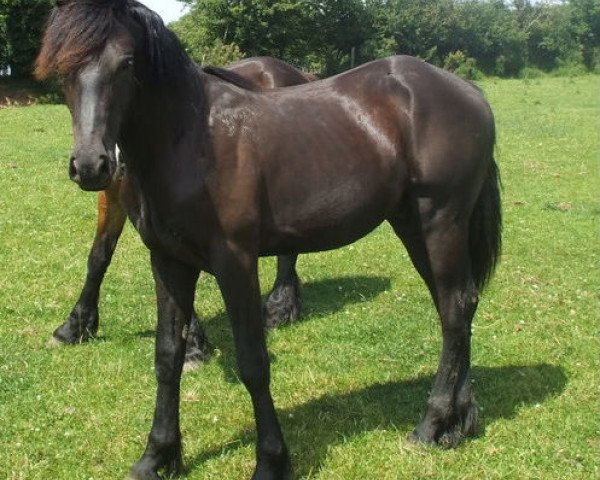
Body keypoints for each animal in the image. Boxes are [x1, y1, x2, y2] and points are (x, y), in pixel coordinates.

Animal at [50, 54, 314, 366]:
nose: (92, 165)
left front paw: (192, 346)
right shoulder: (115, 197)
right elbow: (99, 256)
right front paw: (74, 326)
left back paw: (279, 307)